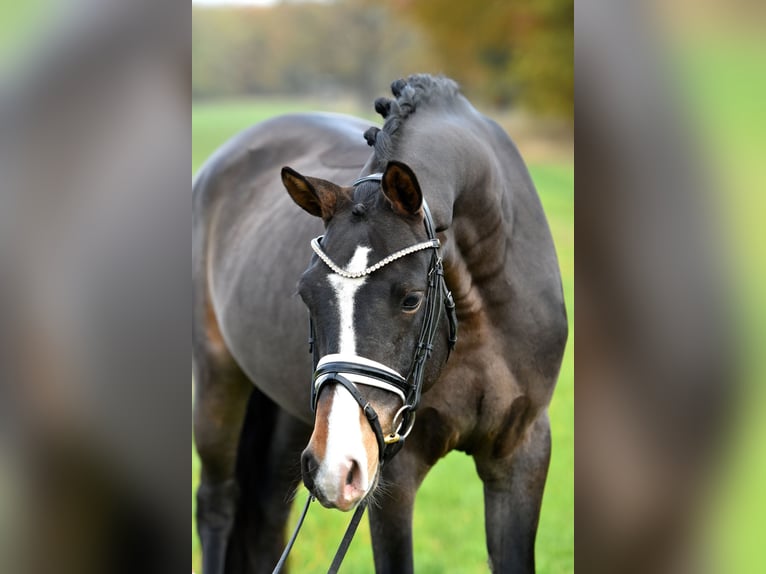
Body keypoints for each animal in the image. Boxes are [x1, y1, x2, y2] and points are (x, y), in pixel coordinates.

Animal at [195, 76, 568, 574]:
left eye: (411, 299)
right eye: (306, 294)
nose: (336, 467)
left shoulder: (521, 452)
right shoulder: (393, 471)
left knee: (270, 518)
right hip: (220, 381)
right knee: (218, 503)